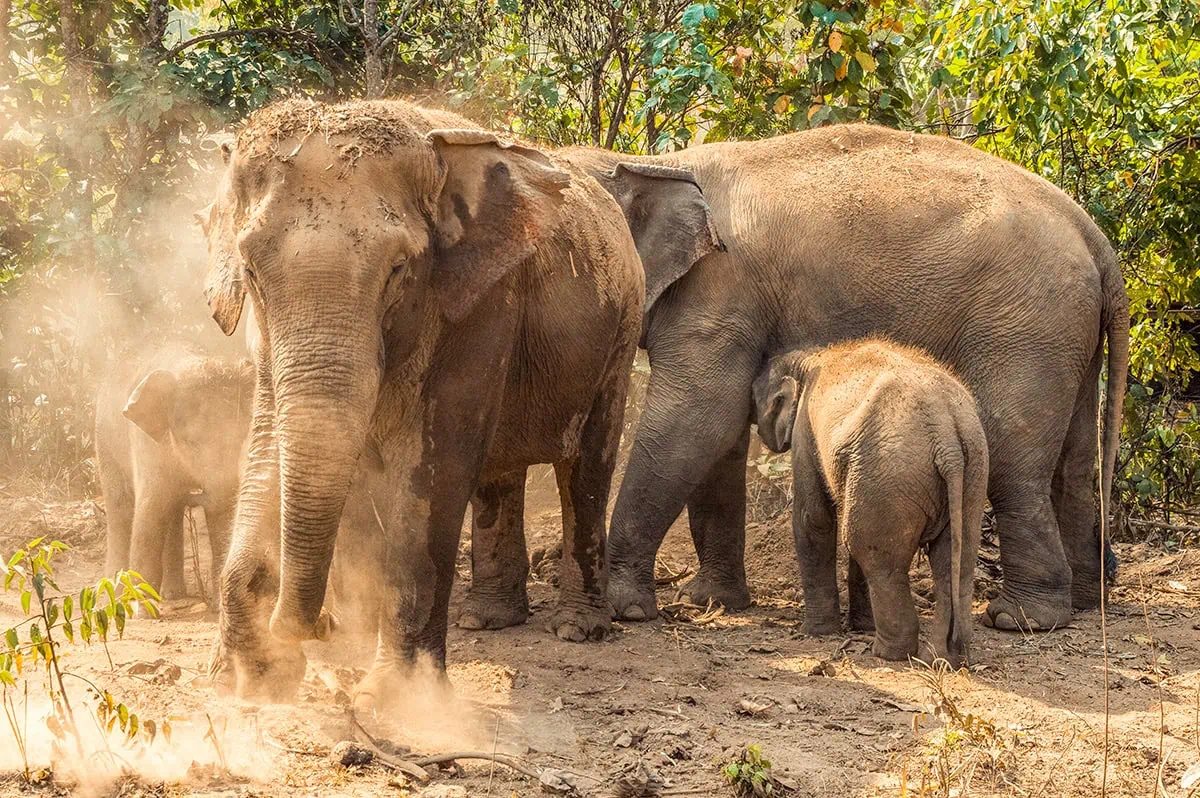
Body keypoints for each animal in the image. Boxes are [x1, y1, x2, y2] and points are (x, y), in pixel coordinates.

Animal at [95, 342, 252, 599]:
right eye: (190, 442)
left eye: (241, 439)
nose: (194, 495)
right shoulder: (147, 445)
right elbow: (150, 511)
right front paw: (140, 605)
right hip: (105, 441)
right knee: (121, 507)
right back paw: (115, 591)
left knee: (173, 512)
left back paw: (173, 594)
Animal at [197, 98, 646, 703]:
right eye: (249, 271)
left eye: (397, 269)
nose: (321, 626)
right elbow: (265, 442)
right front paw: (247, 678)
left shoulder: (481, 301)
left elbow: (437, 464)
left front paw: (395, 702)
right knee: (497, 473)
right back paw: (490, 620)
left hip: (621, 330)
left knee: (587, 465)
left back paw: (578, 629)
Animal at [547, 122, 1128, 634]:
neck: (648, 162)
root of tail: (1094, 235)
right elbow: (720, 438)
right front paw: (712, 601)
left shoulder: (717, 294)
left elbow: (694, 421)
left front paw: (625, 609)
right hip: (1067, 332)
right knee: (1075, 463)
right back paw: (1086, 600)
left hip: (1026, 325)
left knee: (1014, 462)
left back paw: (1020, 619)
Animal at [752, 340, 988, 668]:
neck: (811, 356)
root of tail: (947, 438)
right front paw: (861, 625)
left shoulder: (805, 429)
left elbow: (813, 518)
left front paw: (816, 633)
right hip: (970, 474)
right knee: (956, 560)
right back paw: (943, 658)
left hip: (889, 472)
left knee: (876, 555)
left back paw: (888, 653)